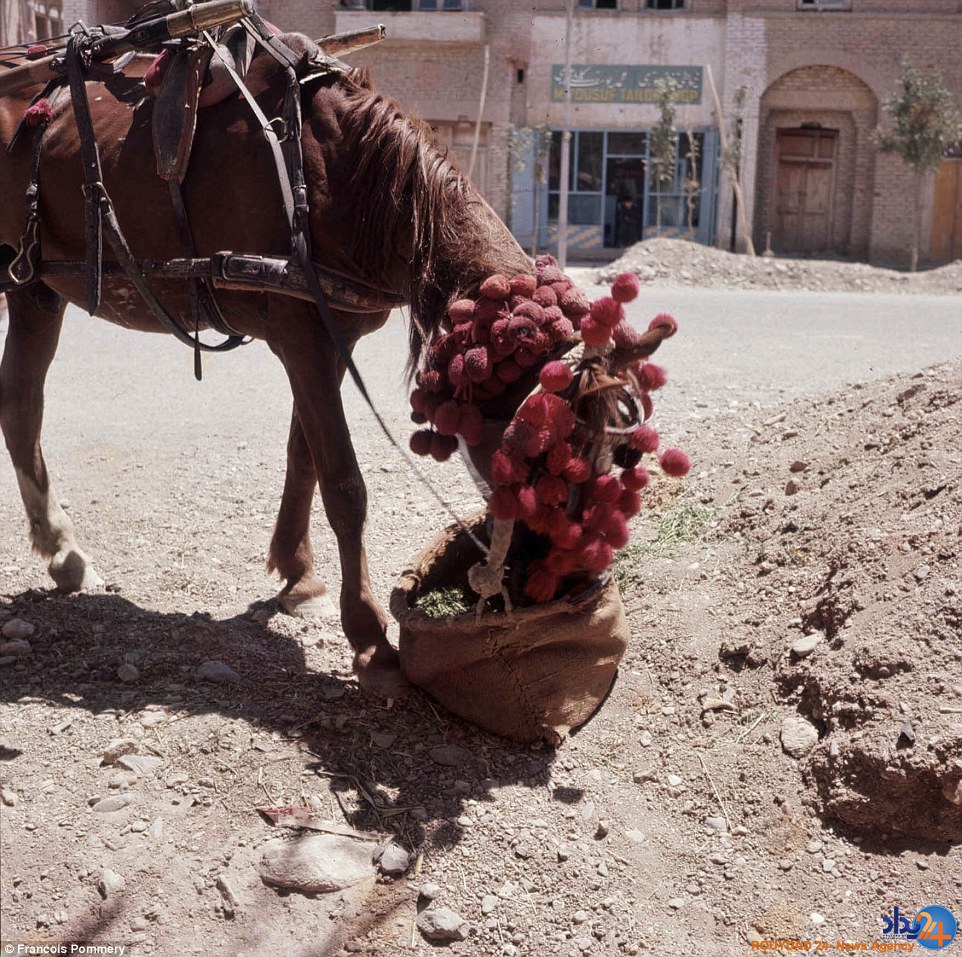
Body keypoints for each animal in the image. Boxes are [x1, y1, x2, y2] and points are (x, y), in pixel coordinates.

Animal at [0, 31, 528, 696]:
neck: (334, 171)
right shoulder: (301, 334)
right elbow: (344, 484)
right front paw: (371, 640)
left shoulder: (333, 337)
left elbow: (305, 457)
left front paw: (298, 576)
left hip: (34, 288)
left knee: (20, 406)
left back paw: (63, 553)